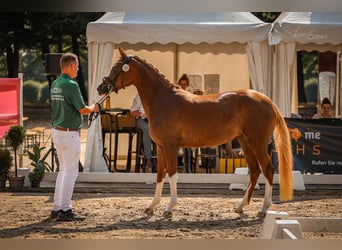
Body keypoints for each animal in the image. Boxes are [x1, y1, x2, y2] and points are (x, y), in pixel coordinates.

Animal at [98, 47, 292, 217]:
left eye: (115, 68)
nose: (101, 88)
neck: (164, 100)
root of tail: (268, 100)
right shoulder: (160, 147)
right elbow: (160, 174)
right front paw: (152, 206)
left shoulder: (170, 146)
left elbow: (172, 174)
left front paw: (169, 208)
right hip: (246, 142)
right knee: (254, 171)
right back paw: (241, 206)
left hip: (257, 143)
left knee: (268, 169)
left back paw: (264, 208)